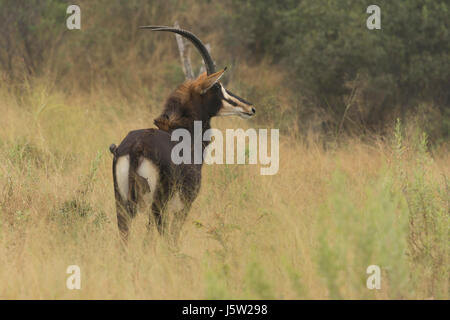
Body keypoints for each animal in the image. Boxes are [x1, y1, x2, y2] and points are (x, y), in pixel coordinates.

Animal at [109, 26, 255, 244]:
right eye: (217, 87)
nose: (250, 108)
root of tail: (136, 148)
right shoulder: (184, 204)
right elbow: (173, 237)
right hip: (158, 204)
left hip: (122, 201)